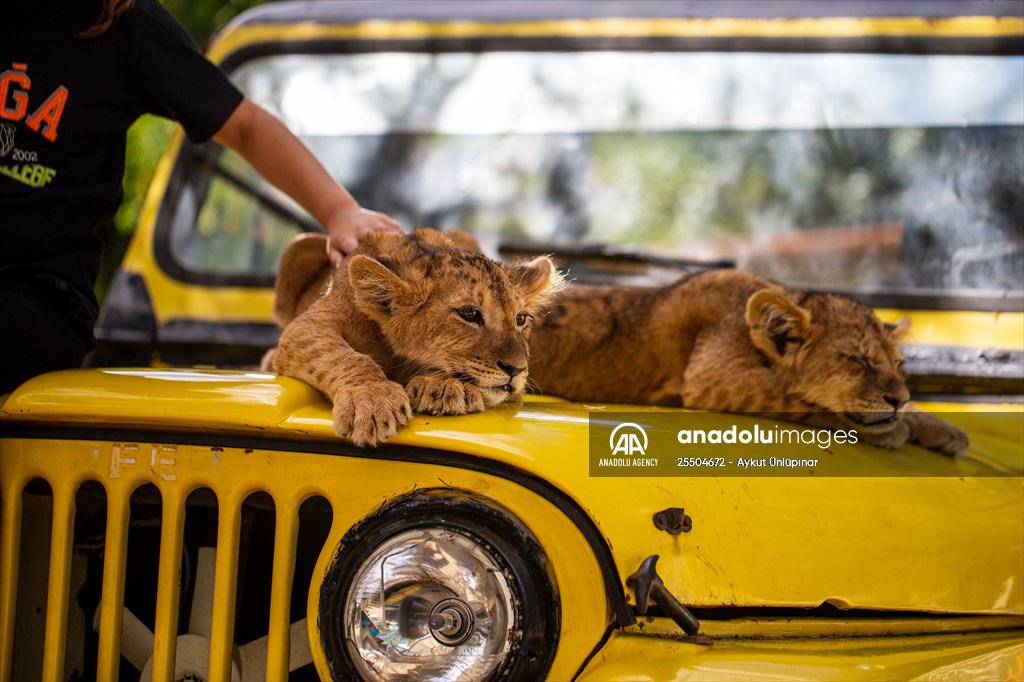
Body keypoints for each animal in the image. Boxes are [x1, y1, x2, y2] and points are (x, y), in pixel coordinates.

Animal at [265, 228, 561, 446]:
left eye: (520, 319)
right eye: (469, 313)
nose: (517, 370)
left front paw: (445, 387)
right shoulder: (310, 324)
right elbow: (342, 355)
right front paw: (372, 400)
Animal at [528, 269, 968, 455]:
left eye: (900, 366)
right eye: (859, 361)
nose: (897, 398)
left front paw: (941, 428)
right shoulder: (712, 378)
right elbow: (799, 400)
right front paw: (896, 429)